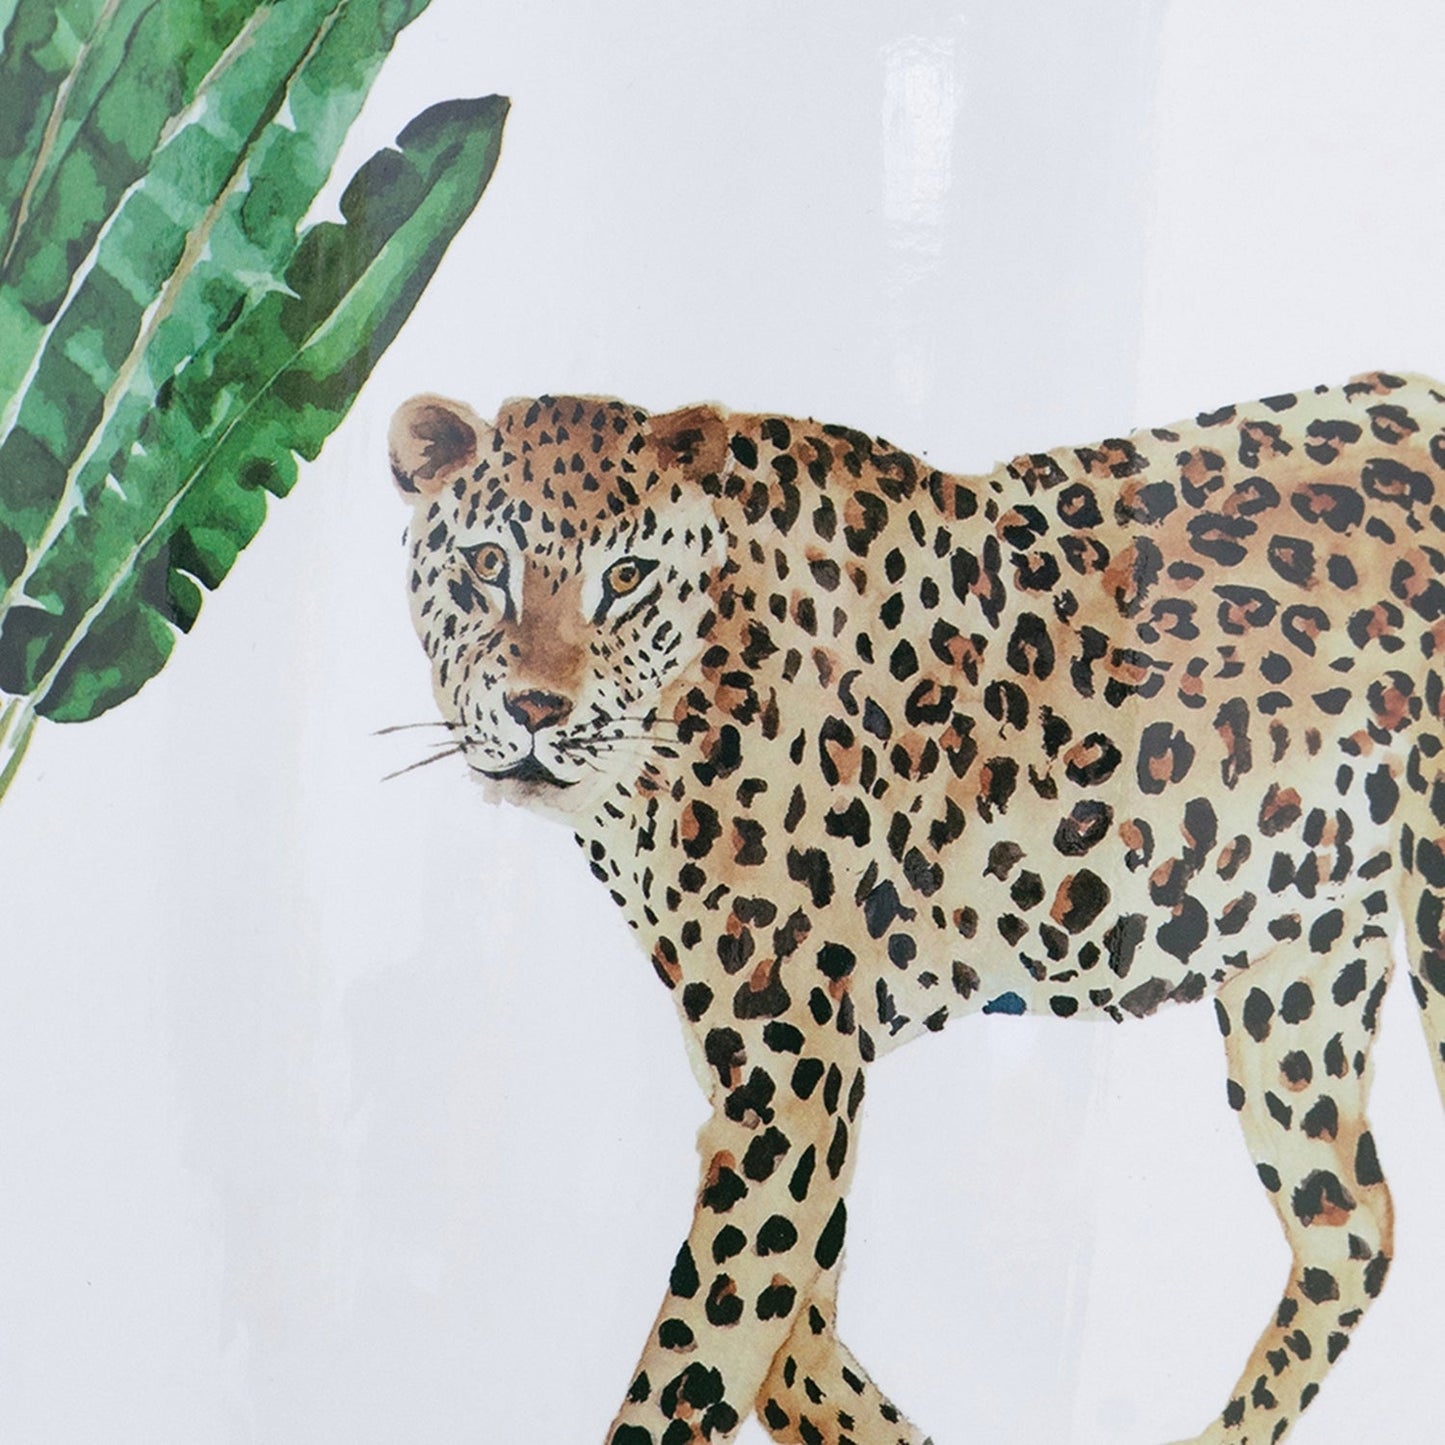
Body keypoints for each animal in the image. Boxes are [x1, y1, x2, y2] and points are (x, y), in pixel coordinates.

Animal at [388, 369, 1445, 1444]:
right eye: (487, 565)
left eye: (627, 576)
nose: (535, 709)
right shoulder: (782, 1093)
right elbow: (789, 1352)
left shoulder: (792, 1086)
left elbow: (696, 1362)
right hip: (1300, 965)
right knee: (1351, 1224)